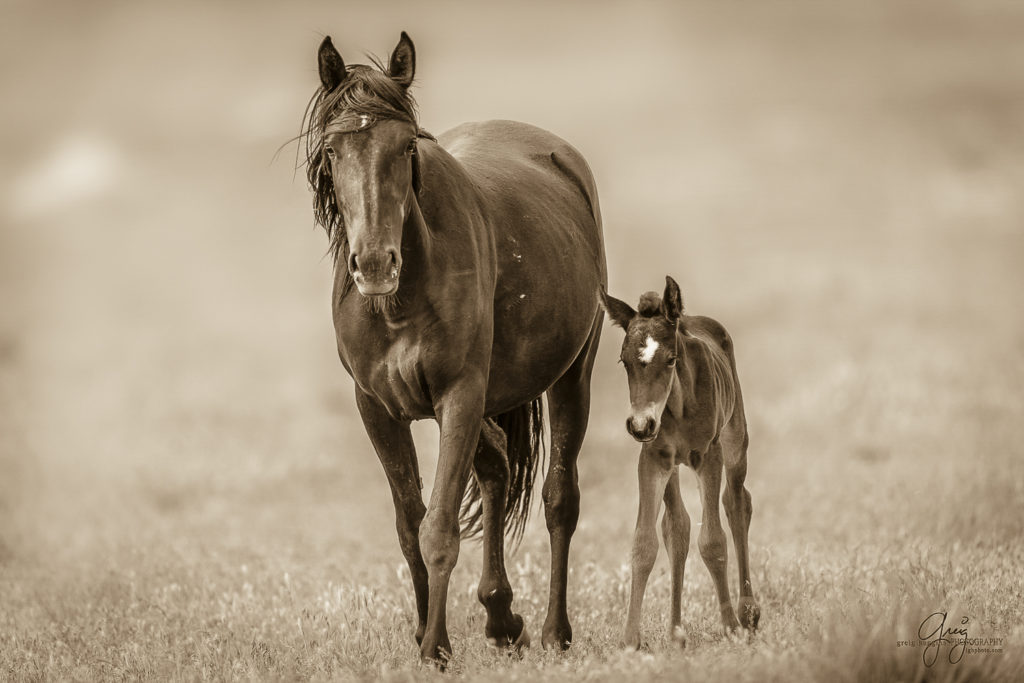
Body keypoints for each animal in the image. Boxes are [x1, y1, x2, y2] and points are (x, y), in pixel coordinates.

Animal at [301, 30, 606, 663]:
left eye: (404, 146)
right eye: (334, 150)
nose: (374, 264)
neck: (400, 299)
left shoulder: (459, 395)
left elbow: (438, 526)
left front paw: (435, 647)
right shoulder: (376, 408)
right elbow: (407, 524)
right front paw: (425, 631)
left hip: (573, 376)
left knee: (559, 497)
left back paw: (553, 631)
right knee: (495, 465)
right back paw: (502, 619)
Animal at [598, 276, 761, 647]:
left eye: (671, 359)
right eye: (624, 361)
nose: (640, 424)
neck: (679, 404)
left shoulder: (709, 455)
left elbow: (713, 540)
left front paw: (731, 626)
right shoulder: (653, 458)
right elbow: (645, 542)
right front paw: (630, 639)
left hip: (735, 439)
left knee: (736, 502)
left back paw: (747, 611)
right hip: (672, 465)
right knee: (677, 526)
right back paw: (675, 632)